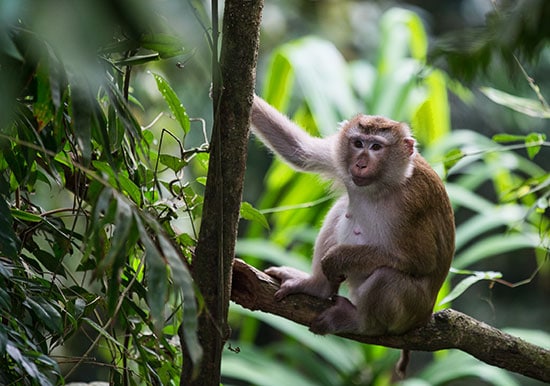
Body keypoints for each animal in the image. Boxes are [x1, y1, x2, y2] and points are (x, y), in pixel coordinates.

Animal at [252, 96, 454, 338]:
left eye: (376, 147)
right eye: (358, 143)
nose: (360, 164)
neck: (383, 185)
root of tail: (425, 316)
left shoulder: (413, 203)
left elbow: (421, 260)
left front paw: (336, 259)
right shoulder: (339, 157)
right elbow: (299, 150)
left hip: (410, 311)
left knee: (387, 277)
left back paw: (360, 322)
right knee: (340, 209)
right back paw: (317, 286)